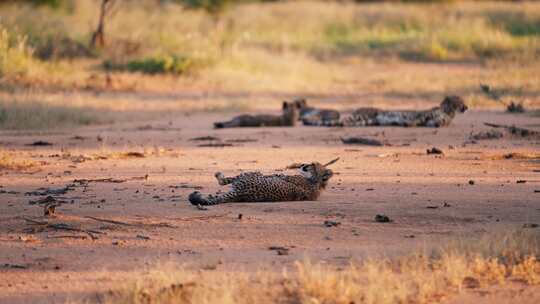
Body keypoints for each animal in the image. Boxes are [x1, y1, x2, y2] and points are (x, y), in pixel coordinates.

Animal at [187, 158, 338, 205]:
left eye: (312, 164)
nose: (303, 164)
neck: (316, 182)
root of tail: (241, 194)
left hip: (250, 174)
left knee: (223, 181)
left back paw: (218, 174)